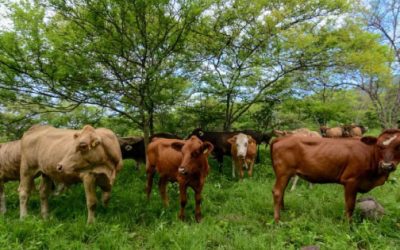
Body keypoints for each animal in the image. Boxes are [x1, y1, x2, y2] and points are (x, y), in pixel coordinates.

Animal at [270, 129, 400, 223]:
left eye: (398, 146)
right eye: (379, 145)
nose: (387, 165)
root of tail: (281, 138)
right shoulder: (351, 181)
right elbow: (350, 205)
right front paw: (348, 225)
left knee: (282, 191)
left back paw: (283, 210)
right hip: (283, 172)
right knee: (277, 192)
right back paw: (277, 220)